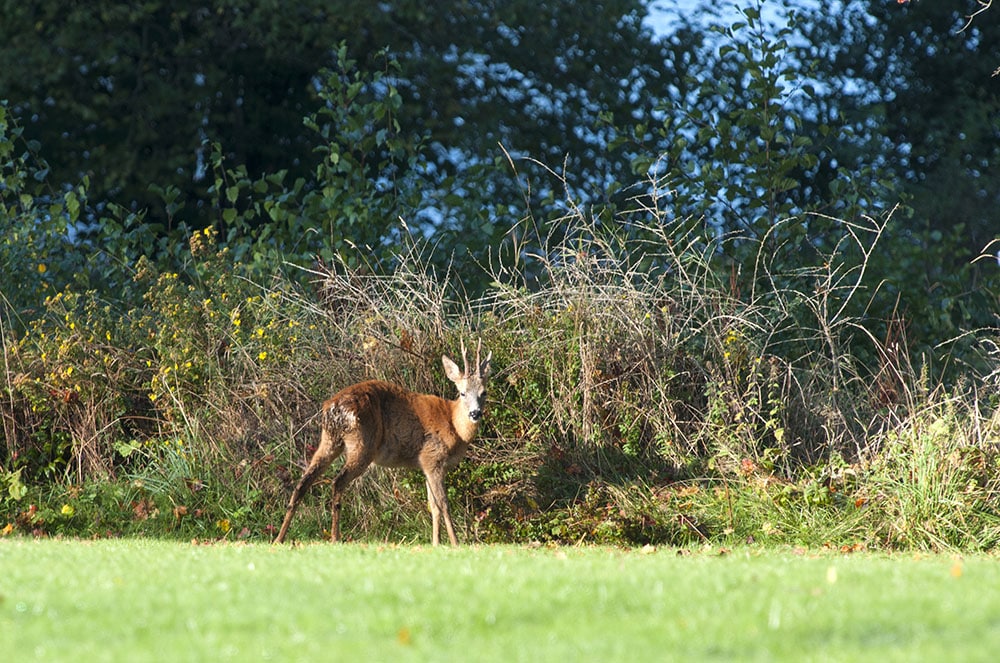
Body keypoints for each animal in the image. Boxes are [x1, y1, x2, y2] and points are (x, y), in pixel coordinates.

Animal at [274, 342, 492, 544]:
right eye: (462, 392)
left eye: (484, 392)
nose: (475, 413)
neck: (453, 423)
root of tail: (333, 408)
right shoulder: (432, 458)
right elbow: (444, 504)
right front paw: (455, 543)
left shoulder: (428, 466)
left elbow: (433, 506)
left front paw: (436, 543)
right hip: (363, 443)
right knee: (337, 482)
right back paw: (335, 537)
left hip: (329, 440)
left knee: (303, 483)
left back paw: (280, 538)